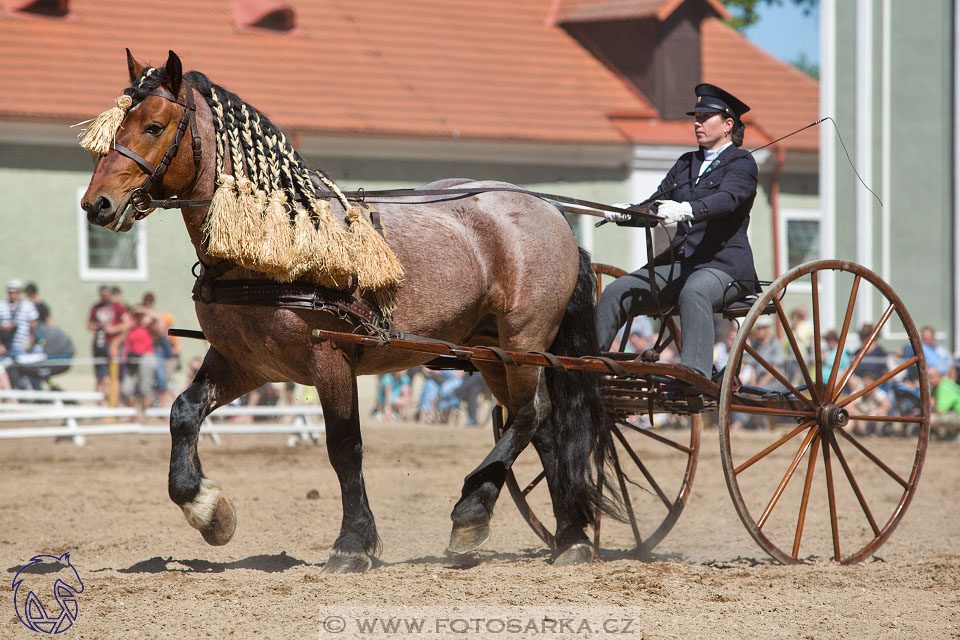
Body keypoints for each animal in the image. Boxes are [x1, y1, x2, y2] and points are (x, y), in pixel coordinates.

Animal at [82, 48, 616, 568]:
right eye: (115, 125)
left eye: (154, 126)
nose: (96, 204)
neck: (268, 245)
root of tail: (552, 213)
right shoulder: (247, 361)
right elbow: (183, 412)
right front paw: (207, 508)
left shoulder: (330, 358)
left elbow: (344, 447)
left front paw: (352, 543)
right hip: (491, 351)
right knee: (545, 429)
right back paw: (568, 535)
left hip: (525, 338)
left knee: (531, 413)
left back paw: (474, 509)